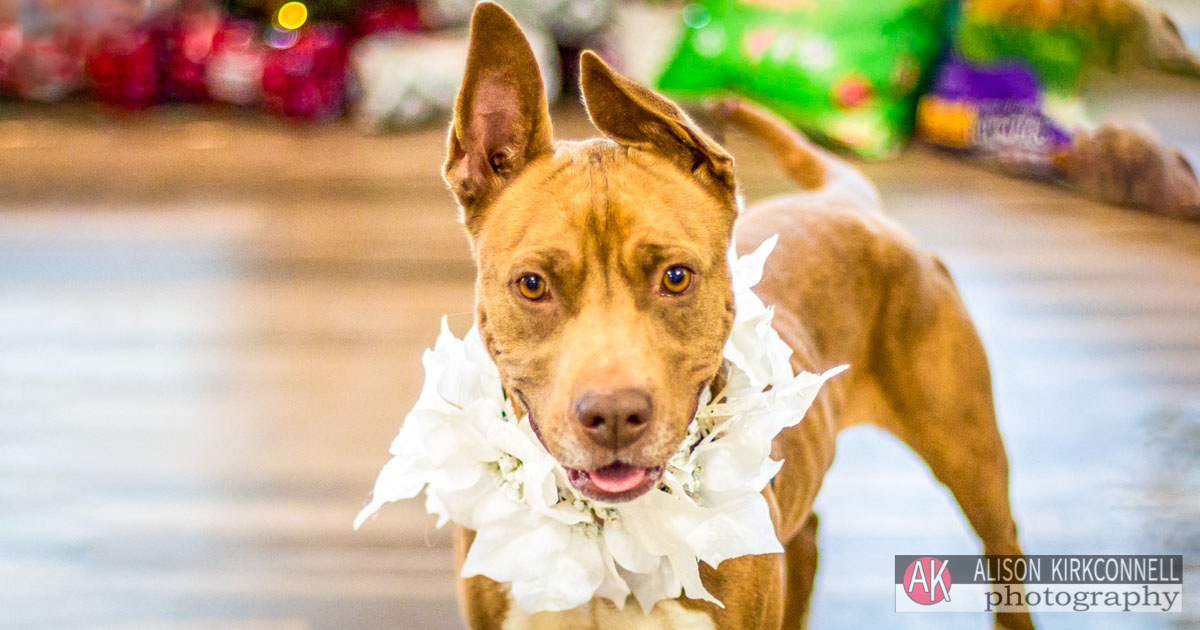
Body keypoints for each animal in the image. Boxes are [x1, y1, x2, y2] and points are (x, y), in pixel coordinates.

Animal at [441, 2, 1032, 624]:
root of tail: (847, 199)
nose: (615, 415)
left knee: (1002, 544)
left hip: (970, 456)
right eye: (533, 285)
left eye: (676, 277)